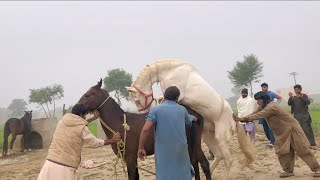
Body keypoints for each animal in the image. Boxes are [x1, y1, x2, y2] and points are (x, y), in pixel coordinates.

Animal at [76, 80, 211, 180]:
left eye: (88, 94)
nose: (75, 109)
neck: (120, 123)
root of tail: (194, 114)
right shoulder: (132, 158)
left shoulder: (130, 157)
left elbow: (132, 177)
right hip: (192, 146)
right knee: (196, 164)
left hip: (192, 145)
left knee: (203, 164)